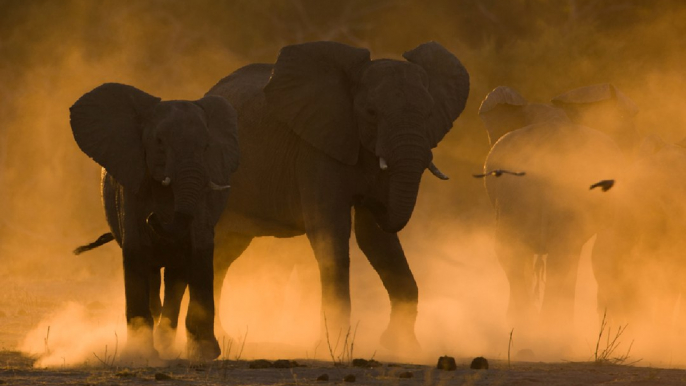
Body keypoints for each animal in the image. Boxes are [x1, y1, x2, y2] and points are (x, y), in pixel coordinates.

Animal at [69, 82, 241, 362]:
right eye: (159, 142)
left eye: (206, 146)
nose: (153, 217)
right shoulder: (131, 183)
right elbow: (137, 248)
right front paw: (139, 354)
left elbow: (200, 246)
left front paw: (204, 353)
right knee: (153, 272)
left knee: (175, 276)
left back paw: (166, 342)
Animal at [153, 40, 470, 352]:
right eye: (370, 112)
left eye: (429, 114)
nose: (371, 201)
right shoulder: (315, 148)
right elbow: (331, 232)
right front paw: (333, 348)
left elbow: (376, 239)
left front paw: (402, 348)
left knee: (223, 254)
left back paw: (224, 339)